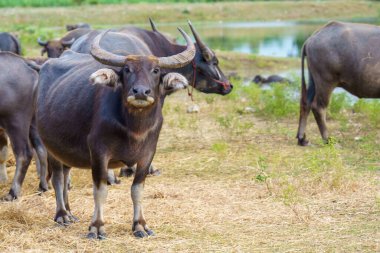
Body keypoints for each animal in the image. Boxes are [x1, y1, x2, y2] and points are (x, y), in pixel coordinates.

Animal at [0, 52, 49, 201]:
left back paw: (12, 193)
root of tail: (25, 63)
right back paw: (43, 186)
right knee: (41, 150)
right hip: (33, 122)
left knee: (24, 153)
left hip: (15, 122)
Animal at [36, 28, 196, 238]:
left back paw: (70, 213)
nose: (140, 92)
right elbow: (100, 190)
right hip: (50, 146)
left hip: (65, 149)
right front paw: (96, 227)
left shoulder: (148, 154)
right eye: (127, 69)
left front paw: (140, 225)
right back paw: (62, 214)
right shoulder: (98, 152)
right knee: (57, 178)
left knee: (64, 175)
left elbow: (137, 190)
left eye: (155, 70)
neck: (133, 128)